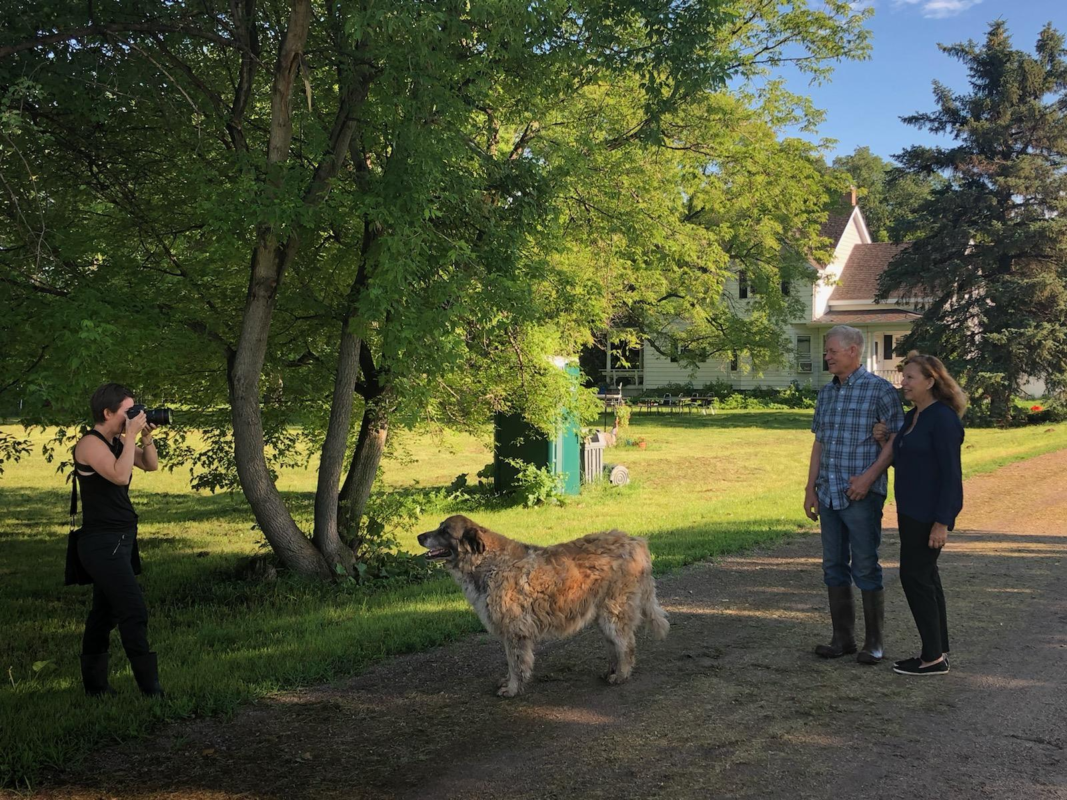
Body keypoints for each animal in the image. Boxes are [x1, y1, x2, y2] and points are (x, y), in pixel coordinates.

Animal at [416, 516, 665, 699]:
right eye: (438, 527)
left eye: (445, 532)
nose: (419, 536)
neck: (487, 562)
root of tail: (635, 541)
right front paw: (510, 682)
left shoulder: (514, 631)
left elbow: (515, 663)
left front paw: (512, 688)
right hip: (603, 614)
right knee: (614, 645)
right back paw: (612, 670)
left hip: (614, 611)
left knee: (626, 645)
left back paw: (621, 674)